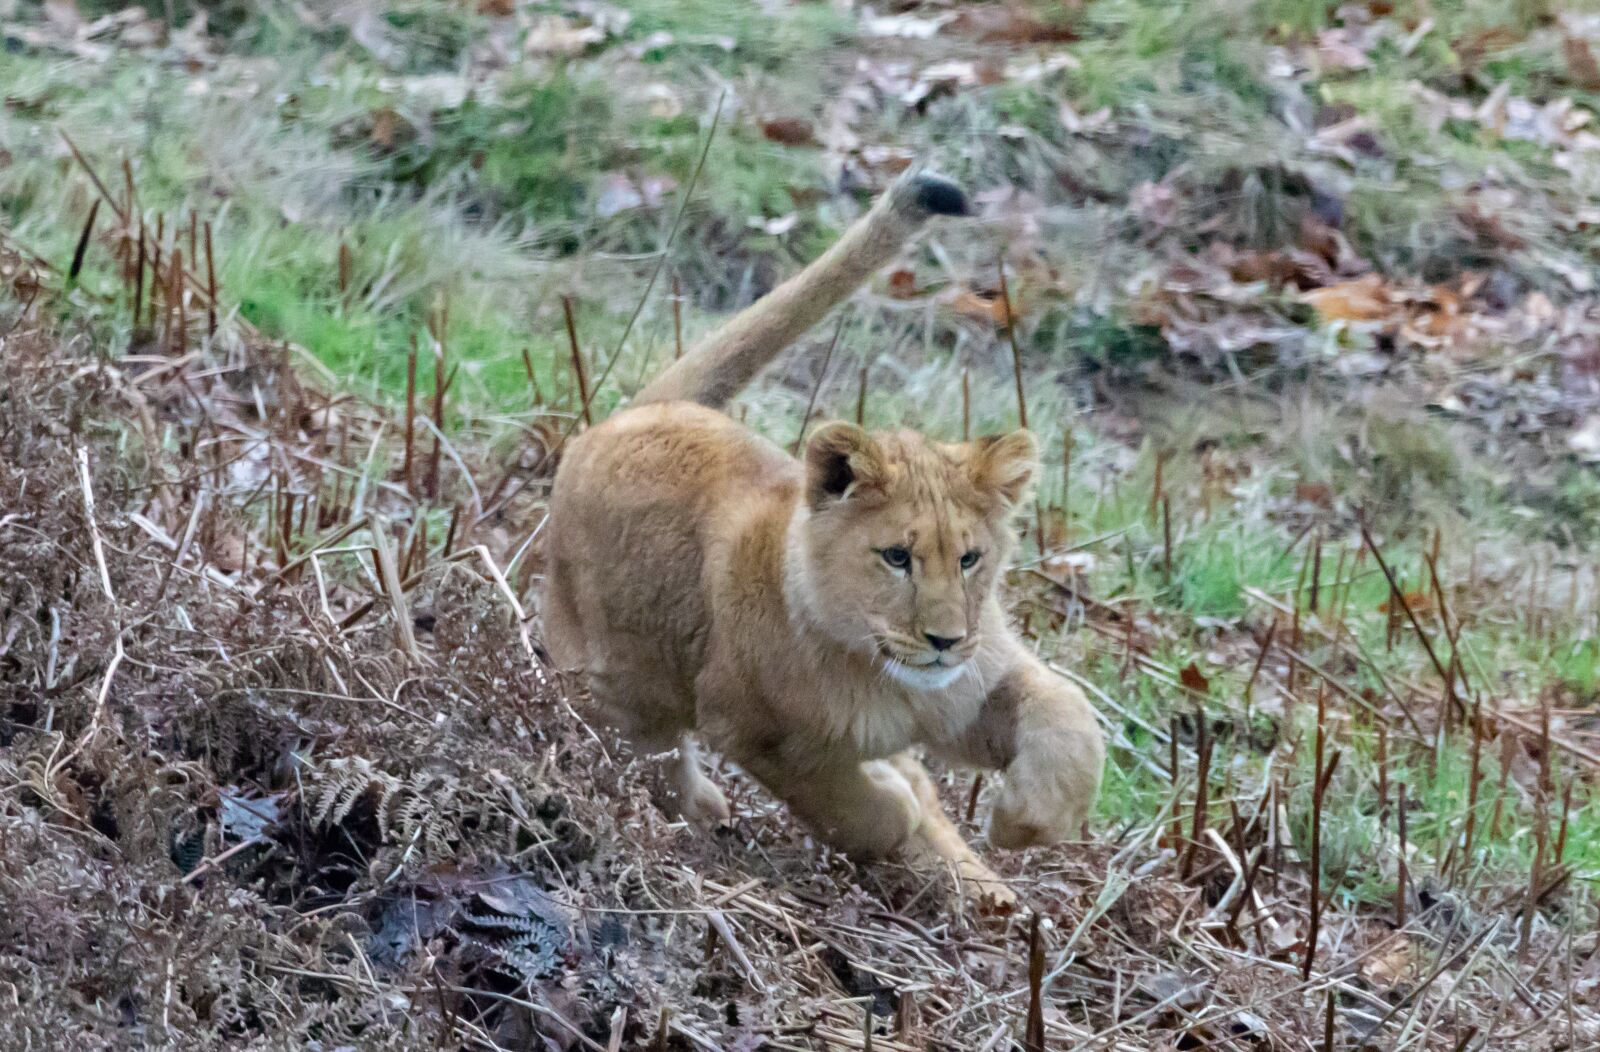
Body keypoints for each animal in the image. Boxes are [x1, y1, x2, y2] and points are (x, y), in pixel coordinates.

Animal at [540, 170, 1105, 903]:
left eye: (971, 559)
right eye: (896, 557)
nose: (945, 640)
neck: (882, 674)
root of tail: (634, 415)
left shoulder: (972, 688)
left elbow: (1069, 715)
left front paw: (1023, 822)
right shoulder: (757, 732)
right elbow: (853, 809)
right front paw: (893, 807)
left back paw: (987, 890)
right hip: (615, 672)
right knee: (650, 745)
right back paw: (704, 806)